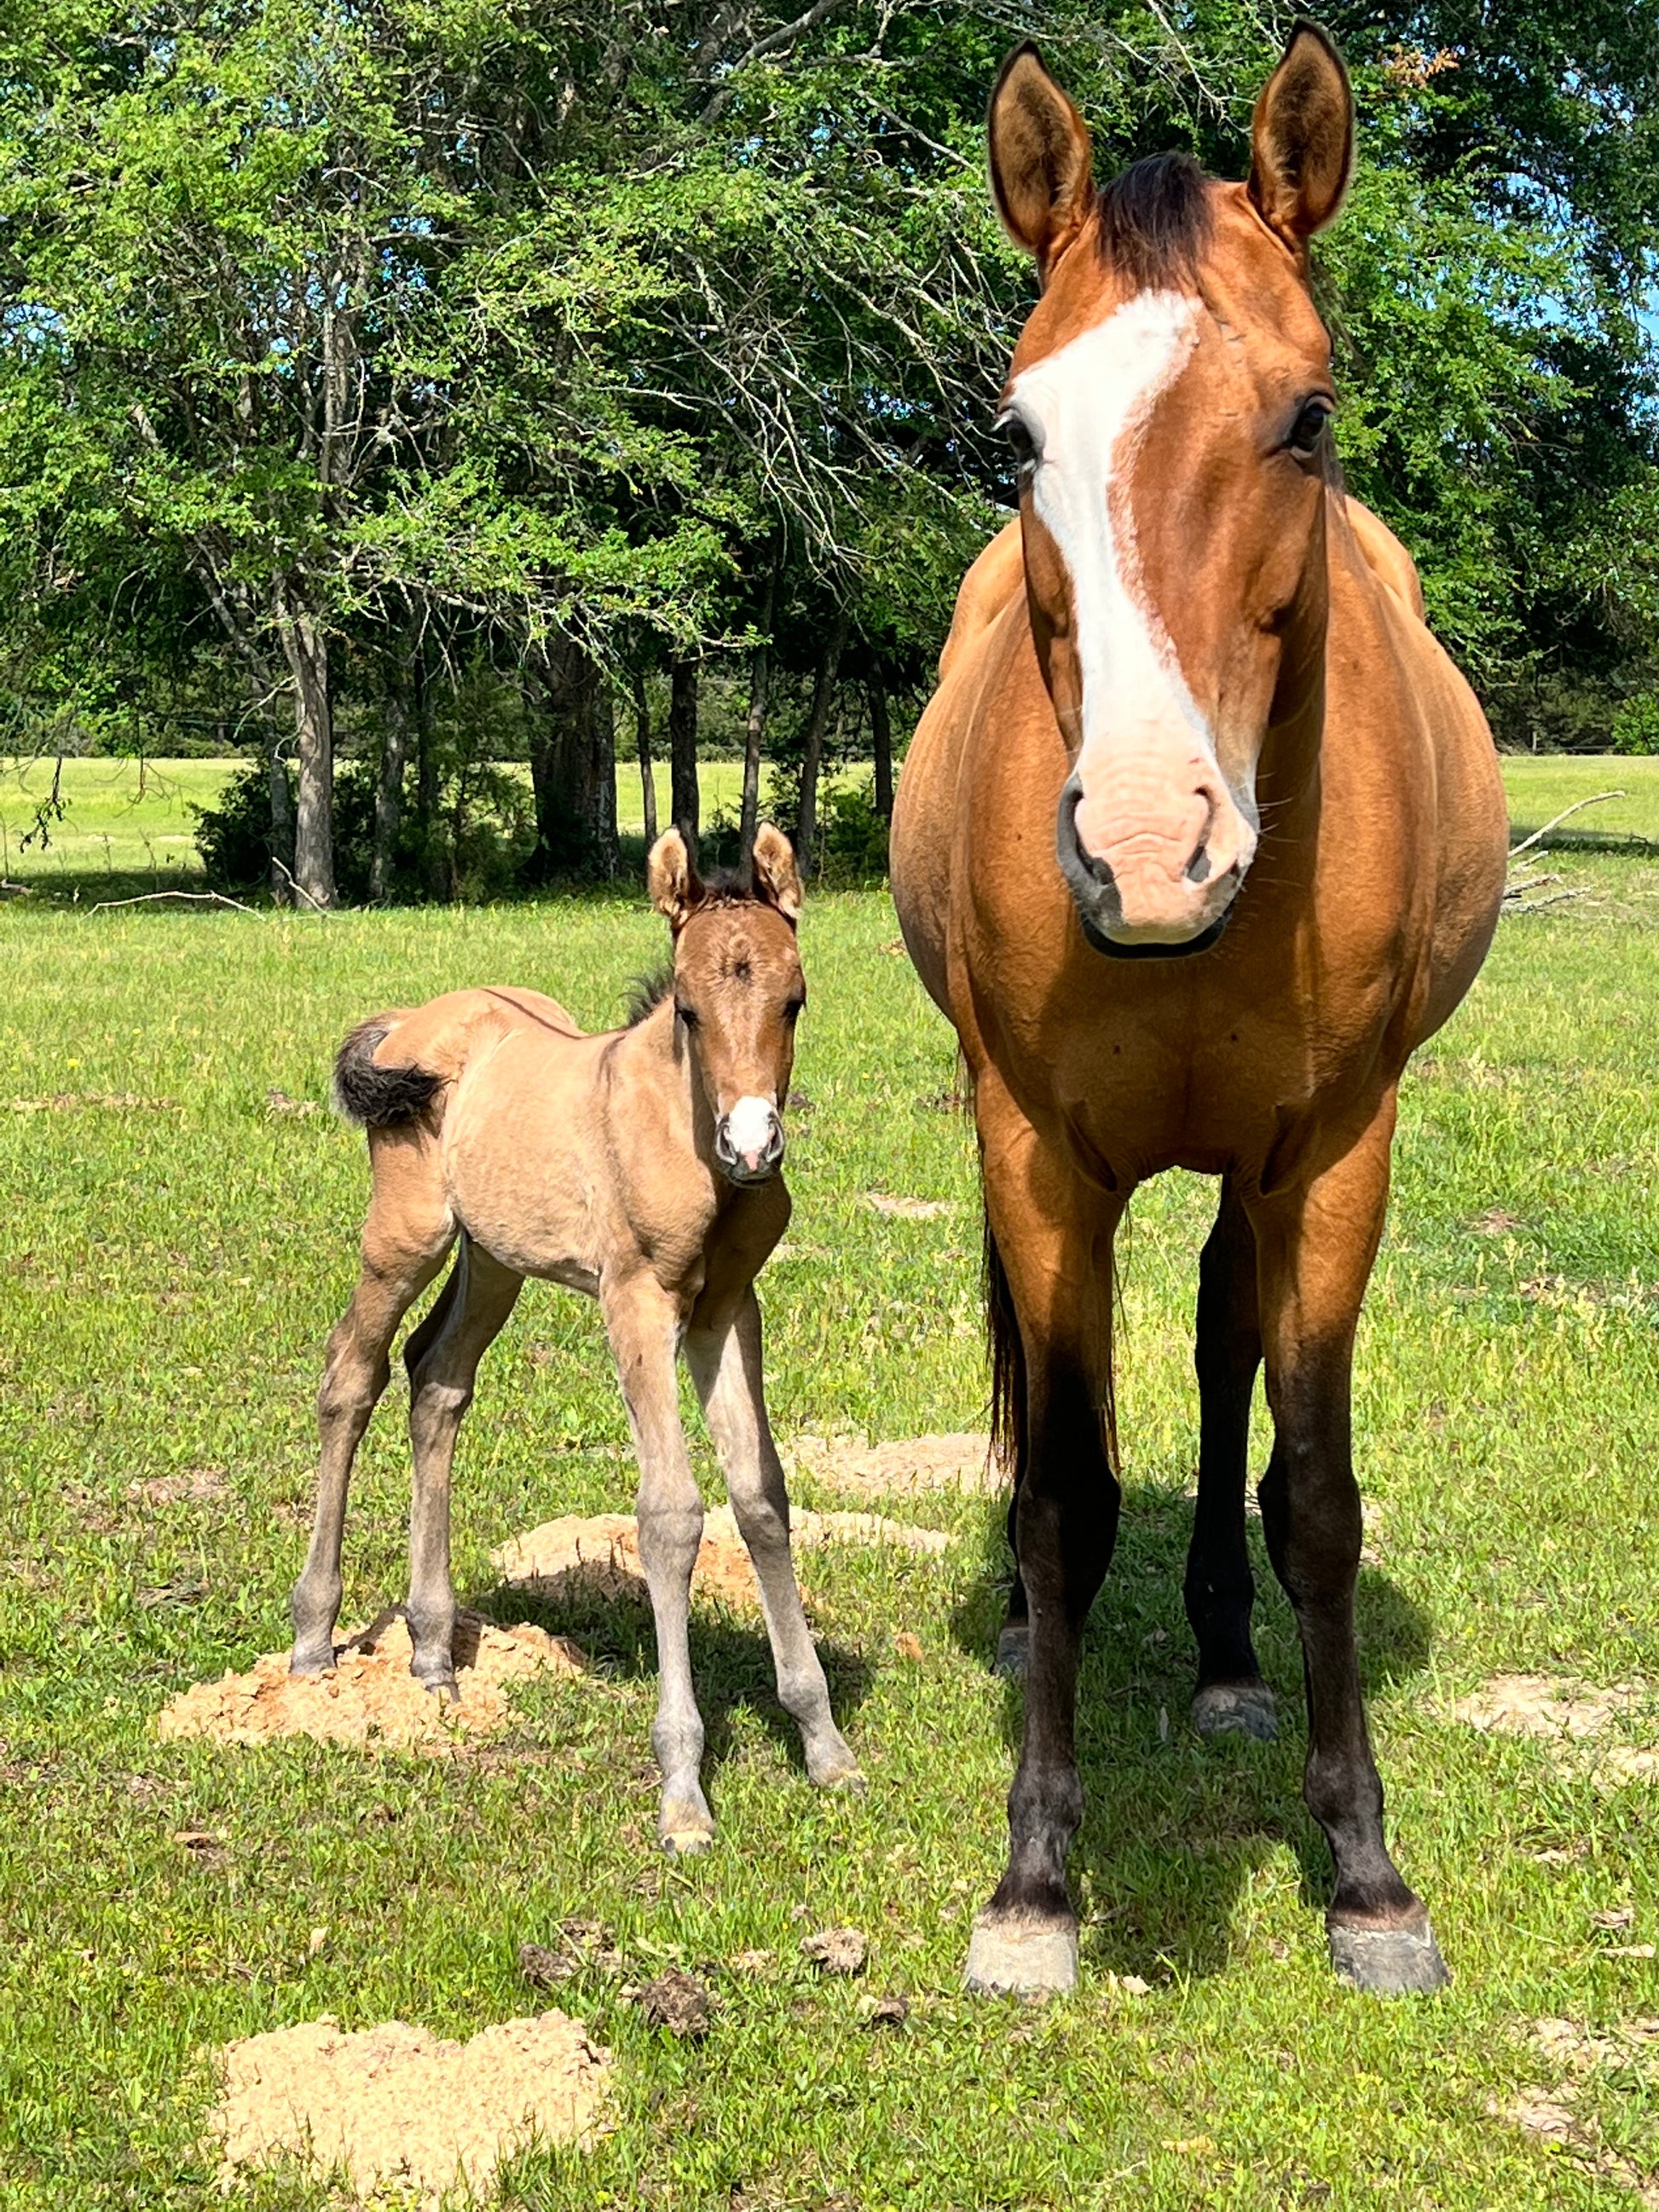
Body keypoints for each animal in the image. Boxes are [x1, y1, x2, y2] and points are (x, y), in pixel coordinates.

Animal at [288, 825, 862, 1853]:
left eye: (794, 998)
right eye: (687, 1009)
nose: (752, 1145)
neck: (680, 1133)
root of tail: (411, 1023)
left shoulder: (727, 1309)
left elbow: (761, 1496)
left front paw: (823, 1743)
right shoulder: (636, 1301)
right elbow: (671, 1515)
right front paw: (683, 1791)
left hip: (494, 1257)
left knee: (435, 1378)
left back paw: (432, 1649)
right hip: (404, 1235)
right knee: (350, 1373)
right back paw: (314, 1638)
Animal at [891, 23, 1507, 1998]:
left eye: (1305, 416)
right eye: (1019, 438)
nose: (1151, 848)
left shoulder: (1331, 1156)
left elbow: (1314, 1491)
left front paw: (1367, 1874)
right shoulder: (1034, 1152)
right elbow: (1059, 1490)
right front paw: (1033, 1881)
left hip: (1255, 1168)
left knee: (1230, 1348)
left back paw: (1232, 1661)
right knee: (1046, 1399)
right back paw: (1041, 1629)